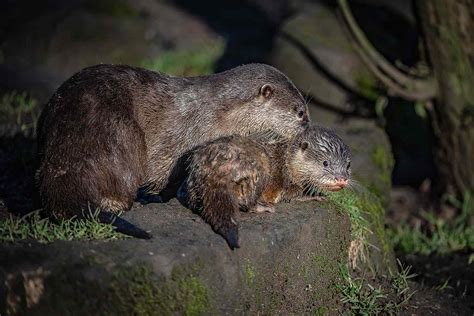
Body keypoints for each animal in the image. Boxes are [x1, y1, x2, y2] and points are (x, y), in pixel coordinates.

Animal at [178, 124, 352, 248]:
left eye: (348, 166)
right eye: (325, 163)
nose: (342, 179)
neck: (288, 160)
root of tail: (214, 168)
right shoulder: (287, 181)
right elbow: (294, 193)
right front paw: (314, 196)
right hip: (258, 170)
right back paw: (263, 207)